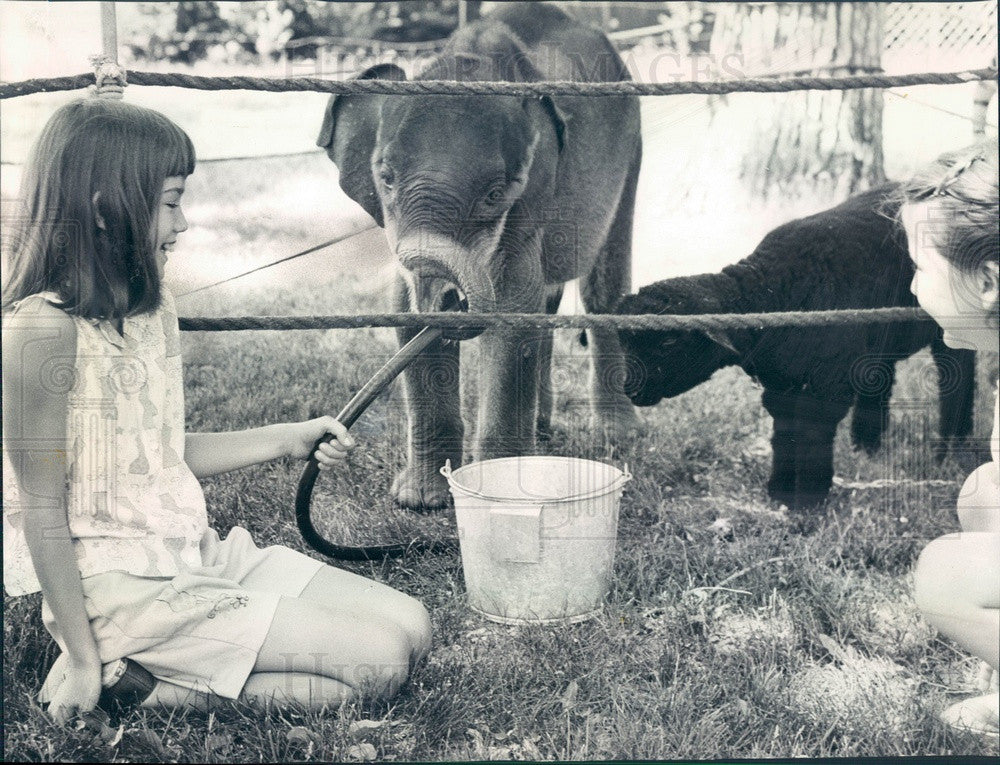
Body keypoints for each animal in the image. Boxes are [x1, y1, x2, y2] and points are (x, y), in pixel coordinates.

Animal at [616, 183, 976, 510]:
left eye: (668, 341)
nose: (630, 389)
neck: (773, 294)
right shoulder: (781, 381)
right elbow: (785, 431)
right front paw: (781, 491)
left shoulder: (828, 382)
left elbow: (814, 433)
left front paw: (810, 500)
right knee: (880, 378)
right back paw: (867, 447)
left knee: (958, 374)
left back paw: (951, 450)